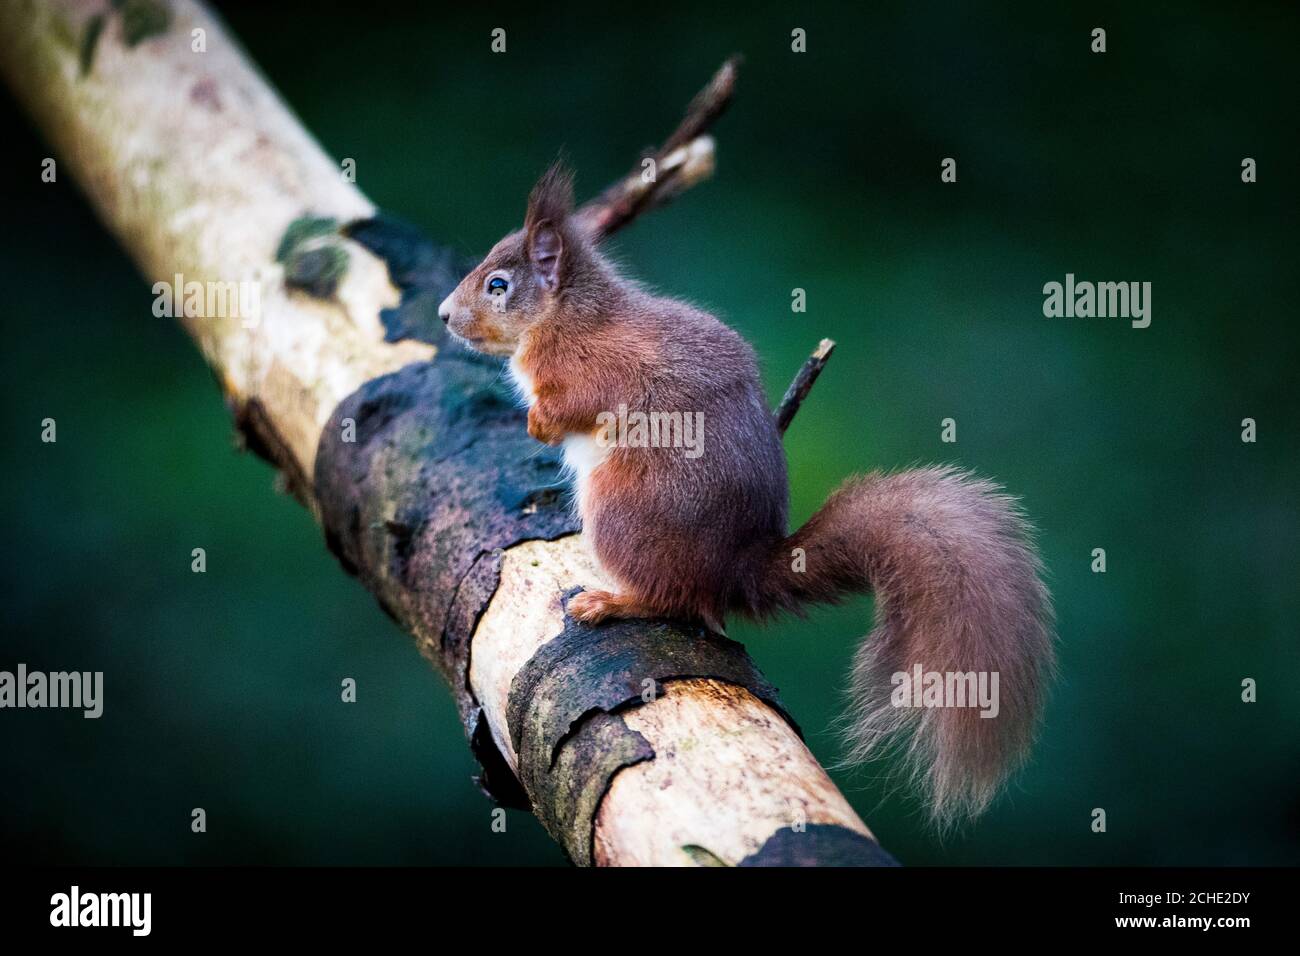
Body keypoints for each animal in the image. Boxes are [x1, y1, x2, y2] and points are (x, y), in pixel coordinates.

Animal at [439, 164, 1055, 822]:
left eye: (499, 285)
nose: (444, 316)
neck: (564, 318)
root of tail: (733, 571)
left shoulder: (589, 370)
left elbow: (570, 407)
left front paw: (537, 423)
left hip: (621, 508)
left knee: (672, 599)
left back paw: (611, 601)